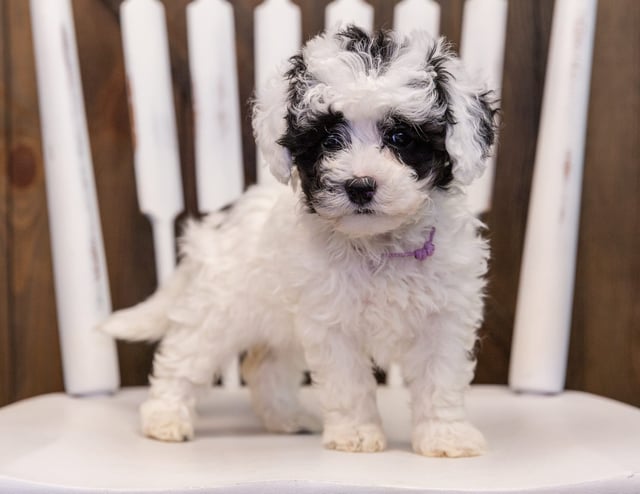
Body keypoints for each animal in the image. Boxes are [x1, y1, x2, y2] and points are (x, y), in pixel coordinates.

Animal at [102, 27, 498, 458]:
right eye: (328, 141)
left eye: (400, 136)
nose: (359, 186)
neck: (378, 245)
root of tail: (222, 220)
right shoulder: (332, 323)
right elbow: (348, 383)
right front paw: (357, 434)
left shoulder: (444, 318)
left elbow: (440, 380)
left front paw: (445, 435)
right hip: (220, 308)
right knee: (185, 356)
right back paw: (165, 418)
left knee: (263, 366)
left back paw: (285, 418)